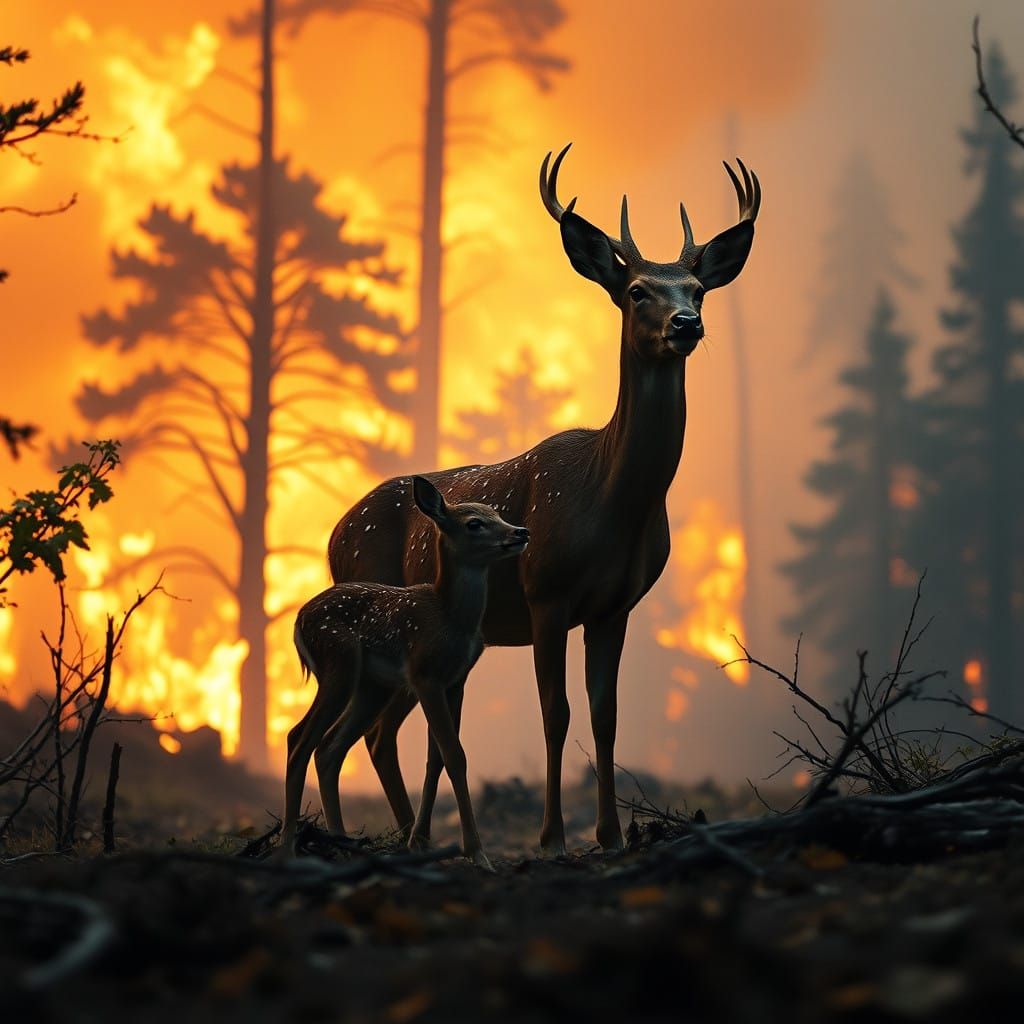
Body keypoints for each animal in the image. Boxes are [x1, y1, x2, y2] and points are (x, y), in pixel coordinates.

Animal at [280, 475, 529, 868]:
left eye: (497, 513)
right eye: (474, 523)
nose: (520, 532)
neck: (450, 618)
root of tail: (298, 622)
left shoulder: (456, 678)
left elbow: (441, 756)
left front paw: (442, 846)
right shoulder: (424, 674)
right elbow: (454, 754)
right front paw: (477, 854)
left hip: (372, 686)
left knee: (330, 746)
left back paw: (340, 841)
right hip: (338, 665)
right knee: (299, 737)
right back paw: (289, 847)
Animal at [325, 144, 761, 855]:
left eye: (697, 290)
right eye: (636, 290)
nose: (686, 324)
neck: (610, 502)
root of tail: (334, 535)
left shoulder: (614, 606)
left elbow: (606, 716)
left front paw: (610, 834)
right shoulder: (545, 594)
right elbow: (555, 715)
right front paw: (552, 835)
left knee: (388, 734)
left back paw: (417, 836)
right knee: (381, 732)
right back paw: (412, 837)